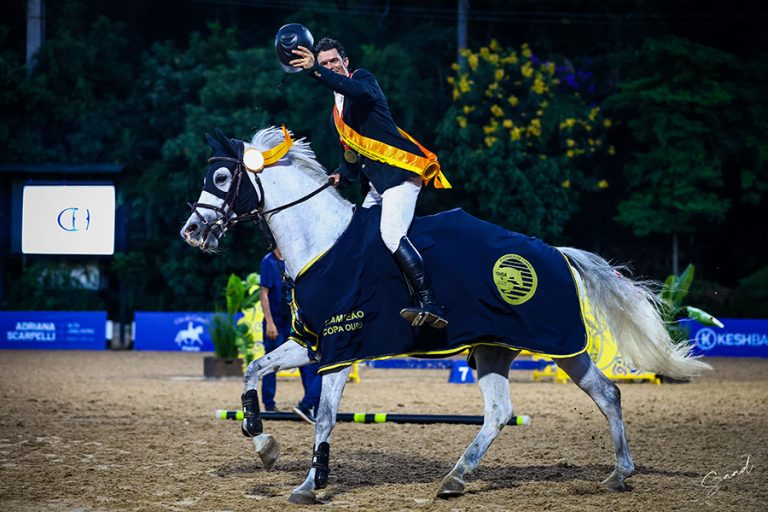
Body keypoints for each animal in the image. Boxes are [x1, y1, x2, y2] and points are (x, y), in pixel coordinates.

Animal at [178, 125, 708, 504]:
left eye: (221, 179)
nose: (191, 232)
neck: (321, 240)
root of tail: (555, 252)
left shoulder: (340, 347)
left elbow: (325, 416)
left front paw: (311, 484)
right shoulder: (309, 343)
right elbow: (253, 369)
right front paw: (261, 441)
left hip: (558, 344)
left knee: (605, 394)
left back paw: (614, 473)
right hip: (494, 349)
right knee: (511, 410)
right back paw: (464, 476)